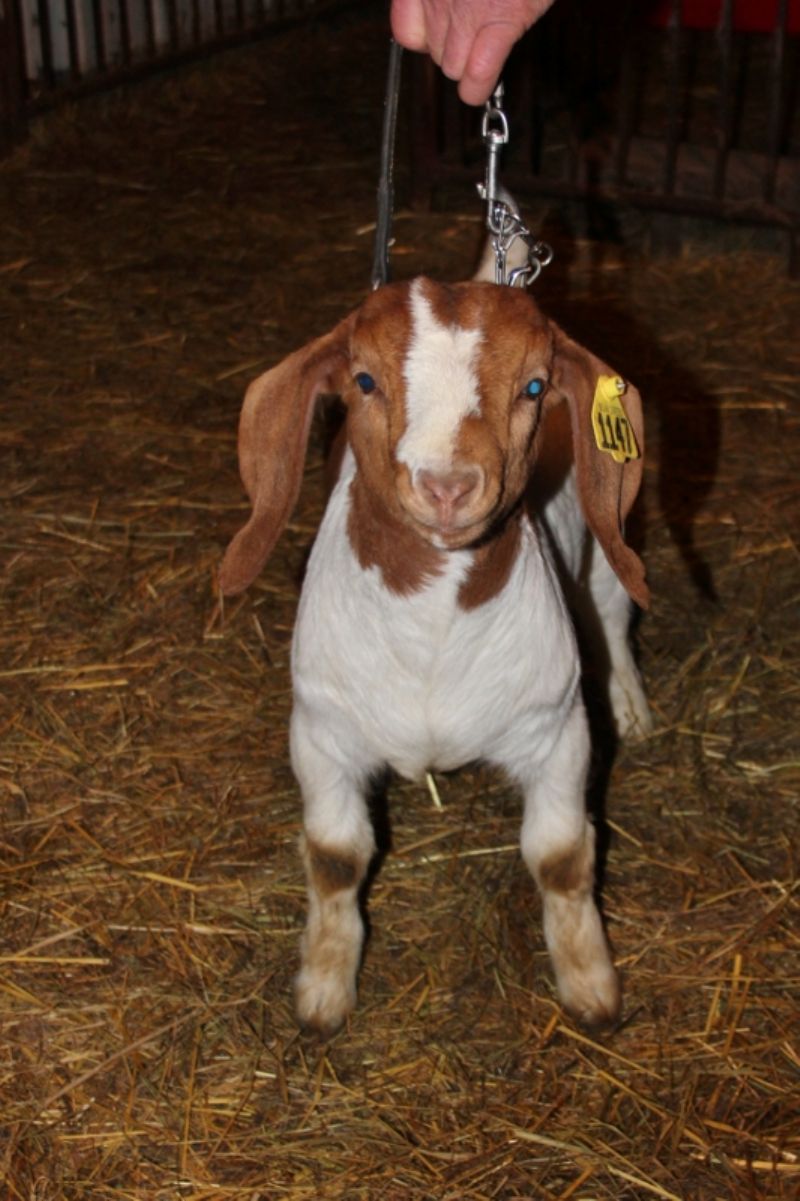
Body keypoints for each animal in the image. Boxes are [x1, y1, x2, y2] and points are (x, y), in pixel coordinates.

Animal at [219, 246, 650, 1037]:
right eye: (363, 380)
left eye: (534, 386)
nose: (447, 486)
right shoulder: (320, 733)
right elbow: (334, 857)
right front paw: (323, 990)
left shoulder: (556, 730)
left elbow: (561, 857)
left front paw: (592, 986)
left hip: (614, 533)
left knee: (611, 609)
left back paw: (632, 706)